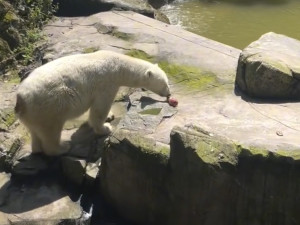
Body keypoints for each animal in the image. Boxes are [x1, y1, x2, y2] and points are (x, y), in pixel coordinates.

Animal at [15, 50, 171, 156]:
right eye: (165, 84)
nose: (169, 94)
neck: (119, 65)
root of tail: (21, 99)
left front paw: (110, 116)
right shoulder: (107, 82)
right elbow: (100, 108)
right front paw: (105, 128)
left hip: (33, 113)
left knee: (35, 131)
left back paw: (37, 148)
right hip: (49, 106)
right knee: (51, 130)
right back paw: (62, 147)